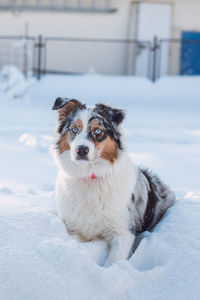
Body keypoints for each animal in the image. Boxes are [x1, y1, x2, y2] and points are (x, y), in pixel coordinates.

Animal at [51, 97, 175, 266]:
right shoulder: (73, 226)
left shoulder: (123, 233)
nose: (81, 150)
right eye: (74, 130)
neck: (90, 177)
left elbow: (113, 262)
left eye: (98, 131)